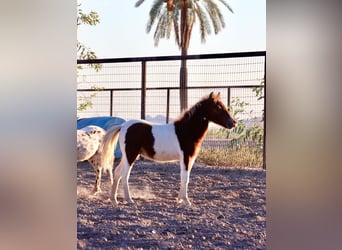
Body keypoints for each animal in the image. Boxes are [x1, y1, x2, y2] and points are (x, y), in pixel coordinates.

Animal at [100, 92, 236, 205]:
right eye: (218, 107)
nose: (233, 123)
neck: (186, 130)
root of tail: (123, 125)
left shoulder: (190, 159)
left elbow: (184, 177)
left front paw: (180, 199)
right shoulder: (186, 157)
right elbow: (185, 178)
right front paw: (186, 201)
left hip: (127, 156)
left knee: (117, 172)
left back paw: (114, 199)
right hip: (131, 155)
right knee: (124, 175)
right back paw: (129, 200)